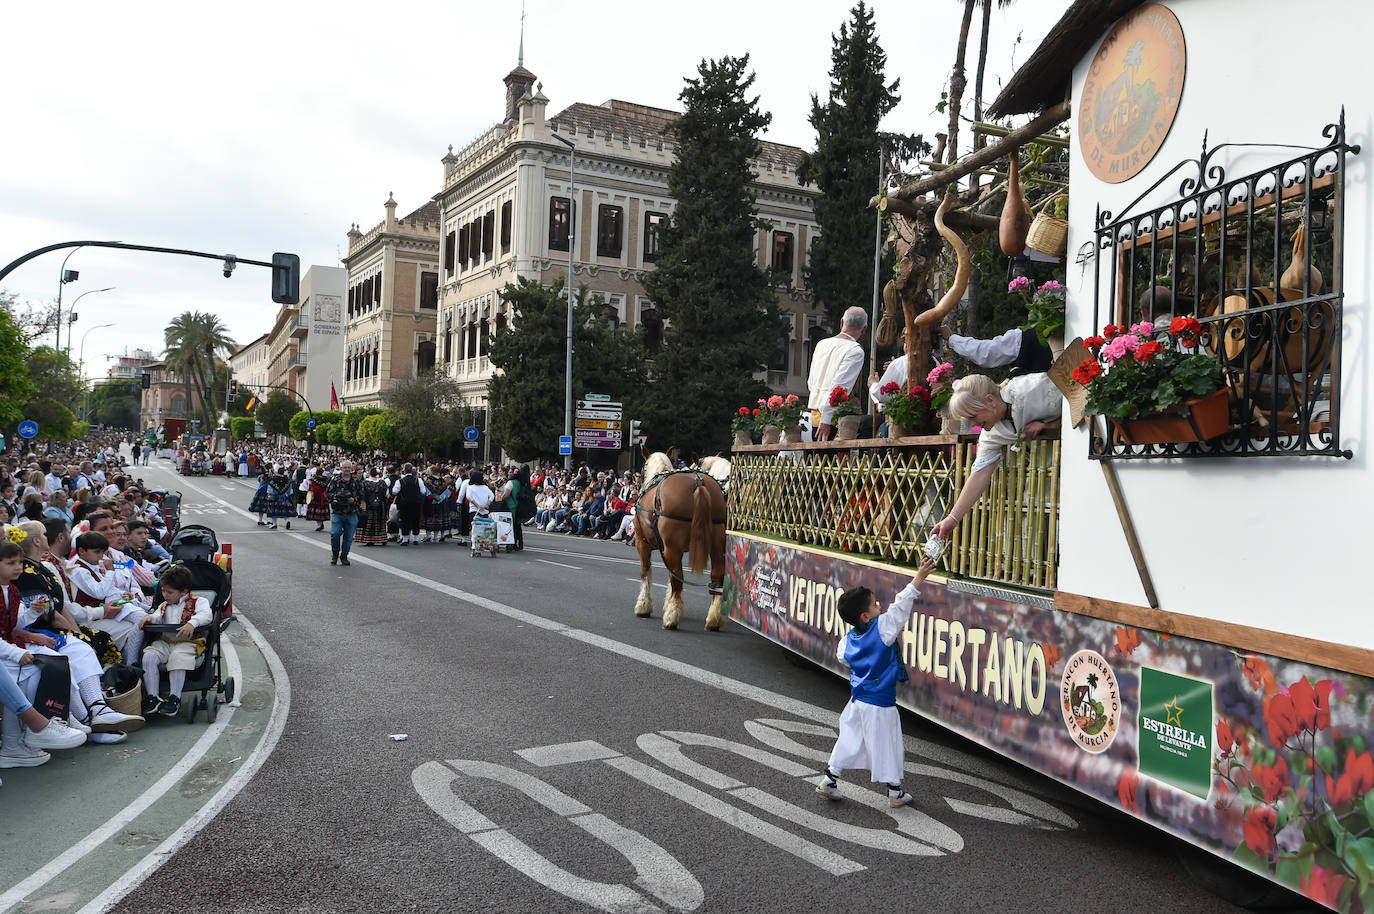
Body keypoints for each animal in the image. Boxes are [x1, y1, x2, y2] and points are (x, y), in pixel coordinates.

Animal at [634, 448, 730, 626]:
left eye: (643, 468)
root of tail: (698, 483)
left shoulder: (642, 543)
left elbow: (646, 572)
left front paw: (643, 606)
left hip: (673, 547)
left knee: (677, 578)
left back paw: (672, 617)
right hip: (716, 545)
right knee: (717, 576)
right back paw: (714, 618)